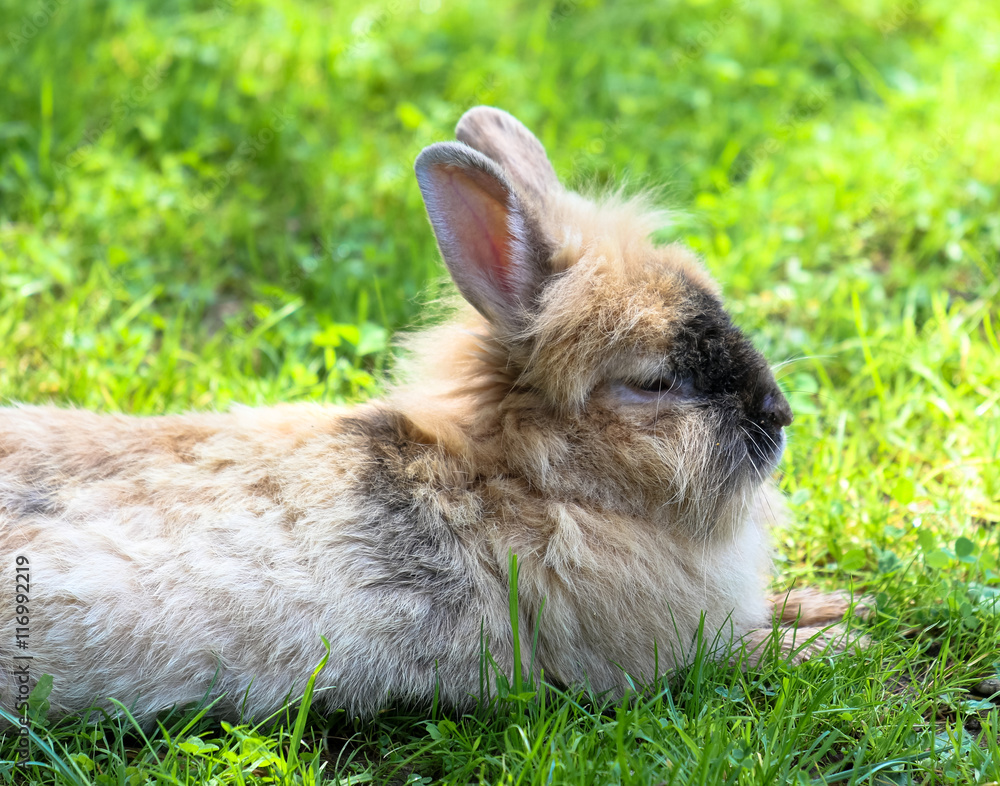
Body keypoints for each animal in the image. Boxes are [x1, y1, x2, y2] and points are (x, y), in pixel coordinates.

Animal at [0, 107, 865, 725]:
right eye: (652, 383)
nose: (780, 414)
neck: (536, 483)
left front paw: (835, 606)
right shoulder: (644, 657)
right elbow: (732, 654)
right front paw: (832, 642)